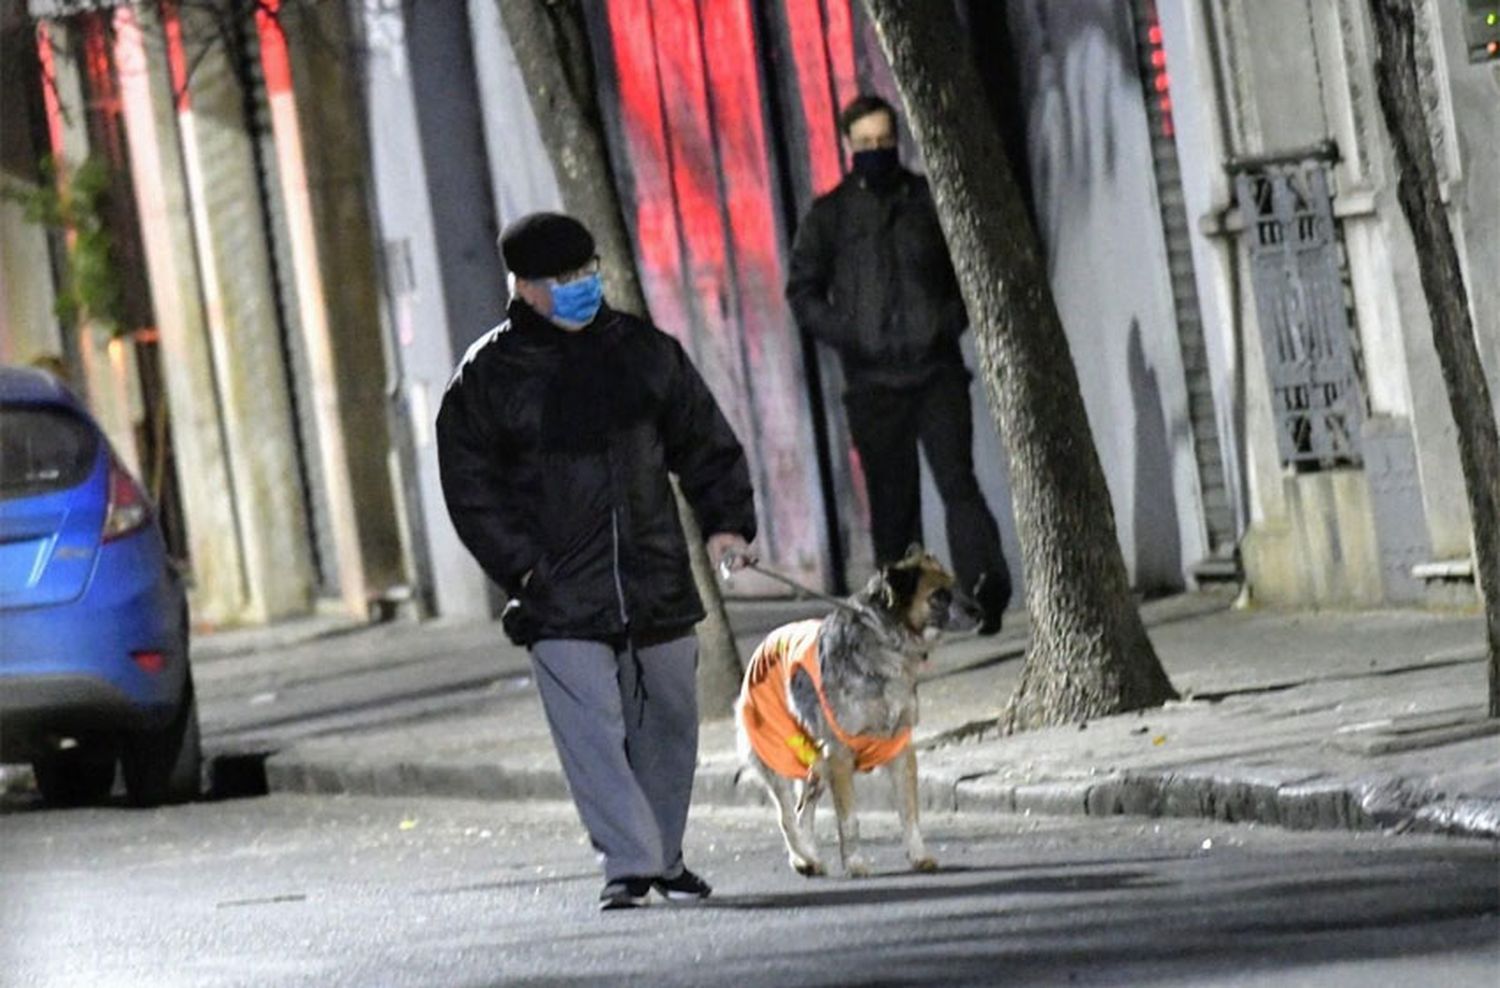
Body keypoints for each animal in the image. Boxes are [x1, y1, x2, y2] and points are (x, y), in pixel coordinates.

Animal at [735, 545, 984, 875]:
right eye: (939, 595)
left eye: (954, 586)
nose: (980, 610)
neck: (886, 644)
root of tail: (764, 643)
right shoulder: (839, 756)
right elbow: (849, 820)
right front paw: (854, 862)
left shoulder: (901, 749)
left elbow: (910, 814)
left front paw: (919, 855)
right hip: (781, 761)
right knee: (787, 817)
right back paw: (803, 858)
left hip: (816, 767)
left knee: (803, 813)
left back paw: (809, 858)